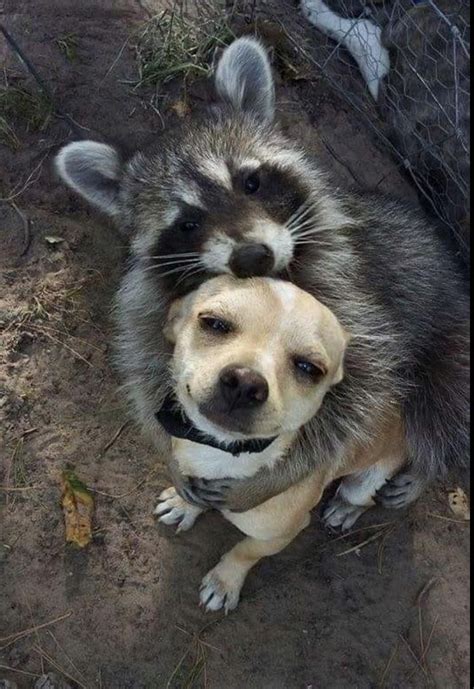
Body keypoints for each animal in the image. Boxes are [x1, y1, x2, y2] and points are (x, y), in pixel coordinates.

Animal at [54, 37, 466, 510]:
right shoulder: (150, 302)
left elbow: (353, 401)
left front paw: (275, 478)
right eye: (188, 223)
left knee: (443, 405)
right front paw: (172, 455)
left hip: (450, 337)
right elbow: (147, 368)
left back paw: (424, 468)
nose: (252, 257)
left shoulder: (353, 295)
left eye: (250, 182)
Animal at [155, 276, 404, 612]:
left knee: (364, 499)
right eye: (215, 324)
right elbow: (194, 494)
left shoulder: (280, 535)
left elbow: (245, 551)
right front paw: (185, 505)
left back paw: (344, 509)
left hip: (369, 479)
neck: (221, 453)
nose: (245, 382)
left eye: (309, 368)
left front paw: (224, 581)